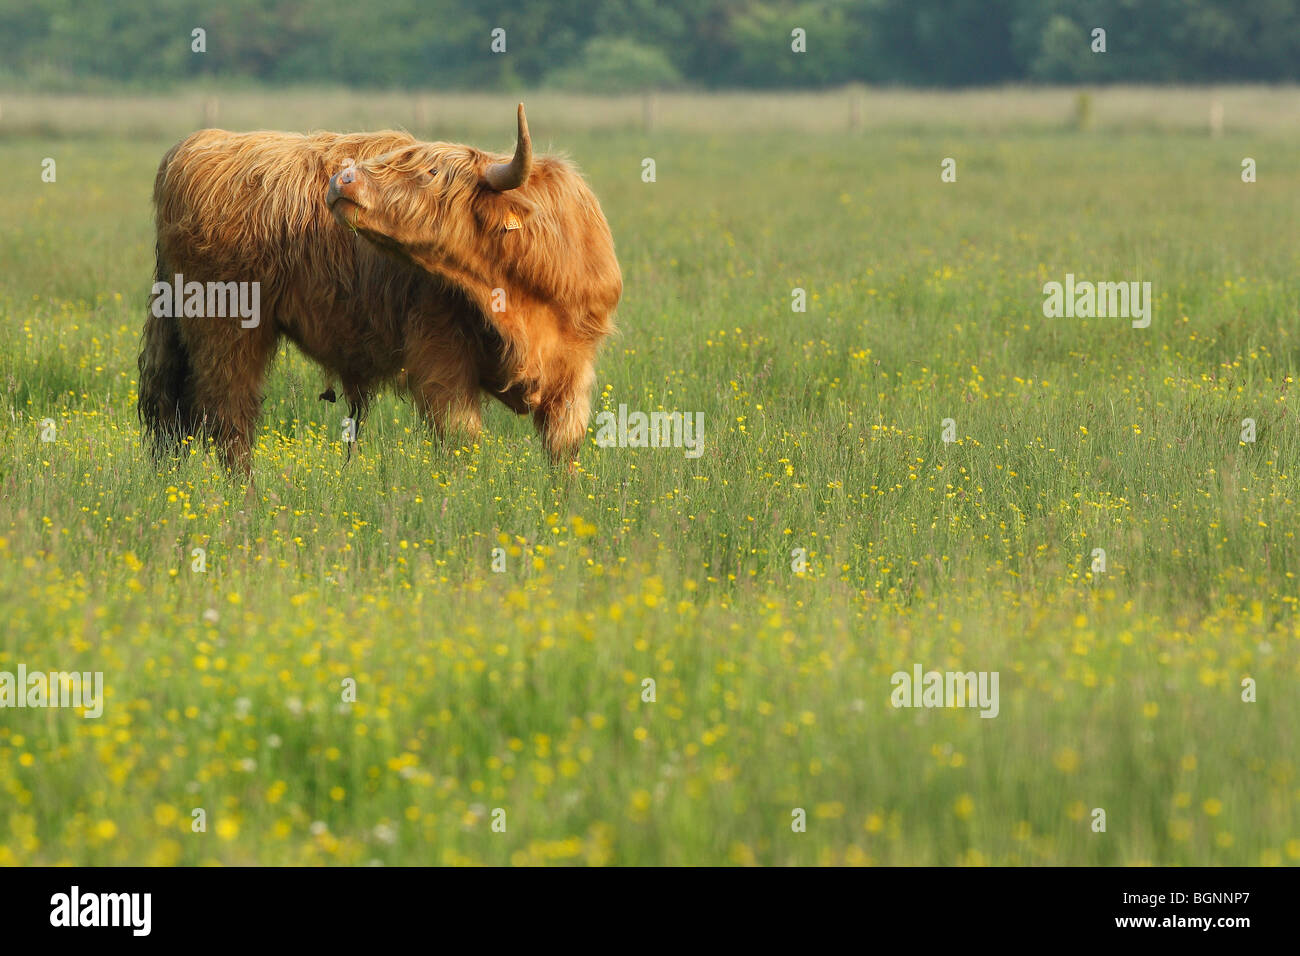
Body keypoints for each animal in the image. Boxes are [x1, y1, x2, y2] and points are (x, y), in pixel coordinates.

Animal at [137, 104, 618, 470]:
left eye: (429, 172)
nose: (342, 179)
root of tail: (195, 146)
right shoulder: (441, 354)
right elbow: (460, 439)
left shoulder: (574, 370)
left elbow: (563, 451)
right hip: (226, 328)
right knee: (228, 419)